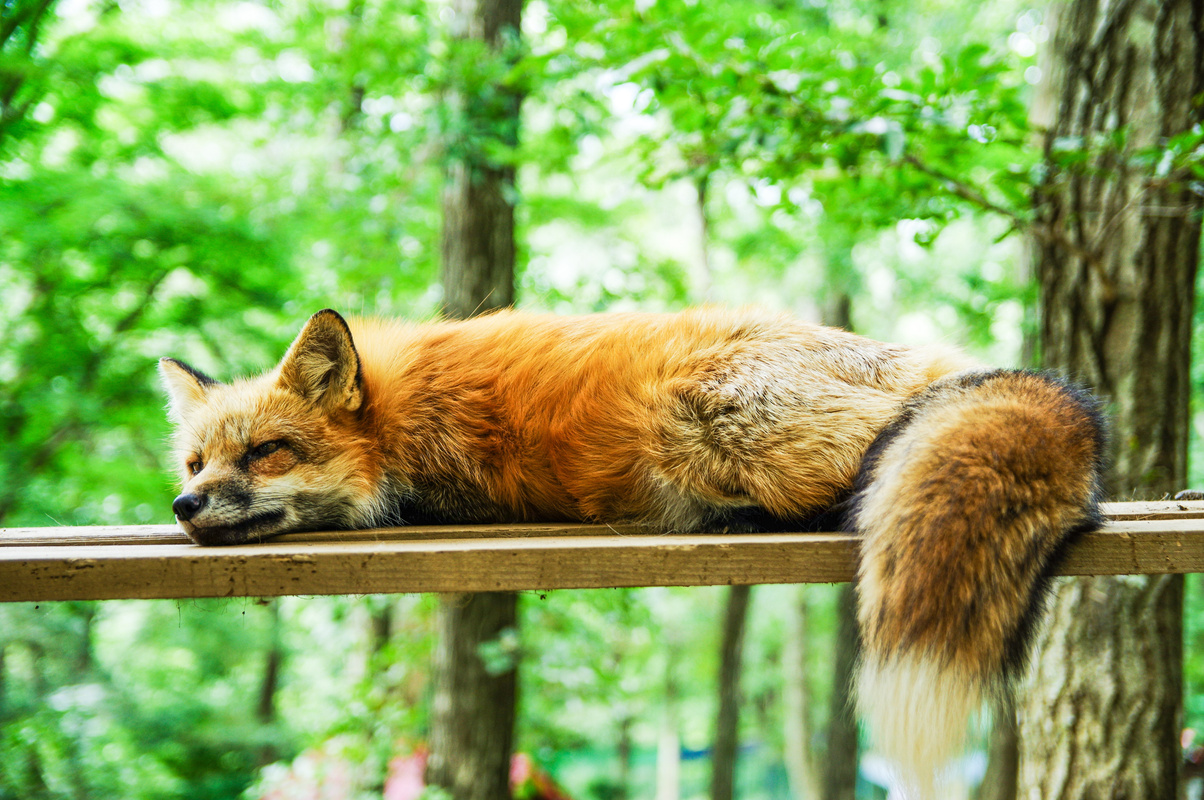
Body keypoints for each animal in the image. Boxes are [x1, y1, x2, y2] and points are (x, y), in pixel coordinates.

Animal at [162, 306, 1107, 795]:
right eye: (196, 461)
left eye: (267, 452)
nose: (183, 505)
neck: (397, 416)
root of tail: (931, 362)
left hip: (699, 416)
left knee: (863, 477)